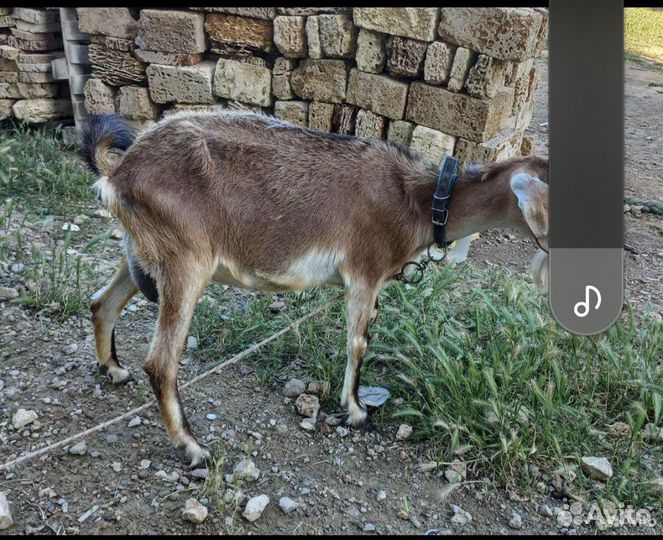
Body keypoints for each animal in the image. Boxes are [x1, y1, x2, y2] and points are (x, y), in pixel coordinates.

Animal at [82, 111, 549, 468]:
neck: (416, 198)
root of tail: (119, 173)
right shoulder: (365, 269)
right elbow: (358, 342)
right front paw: (356, 411)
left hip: (145, 253)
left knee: (102, 304)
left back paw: (113, 369)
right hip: (186, 260)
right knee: (161, 362)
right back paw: (194, 448)